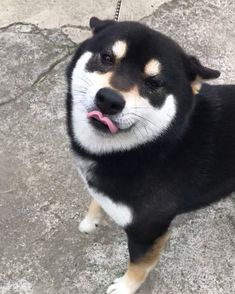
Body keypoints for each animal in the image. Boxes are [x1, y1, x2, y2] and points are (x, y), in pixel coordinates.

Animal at [65, 17, 235, 292]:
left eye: (154, 83)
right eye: (107, 58)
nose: (109, 100)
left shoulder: (148, 230)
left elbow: (139, 265)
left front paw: (125, 286)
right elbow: (97, 198)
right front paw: (92, 220)